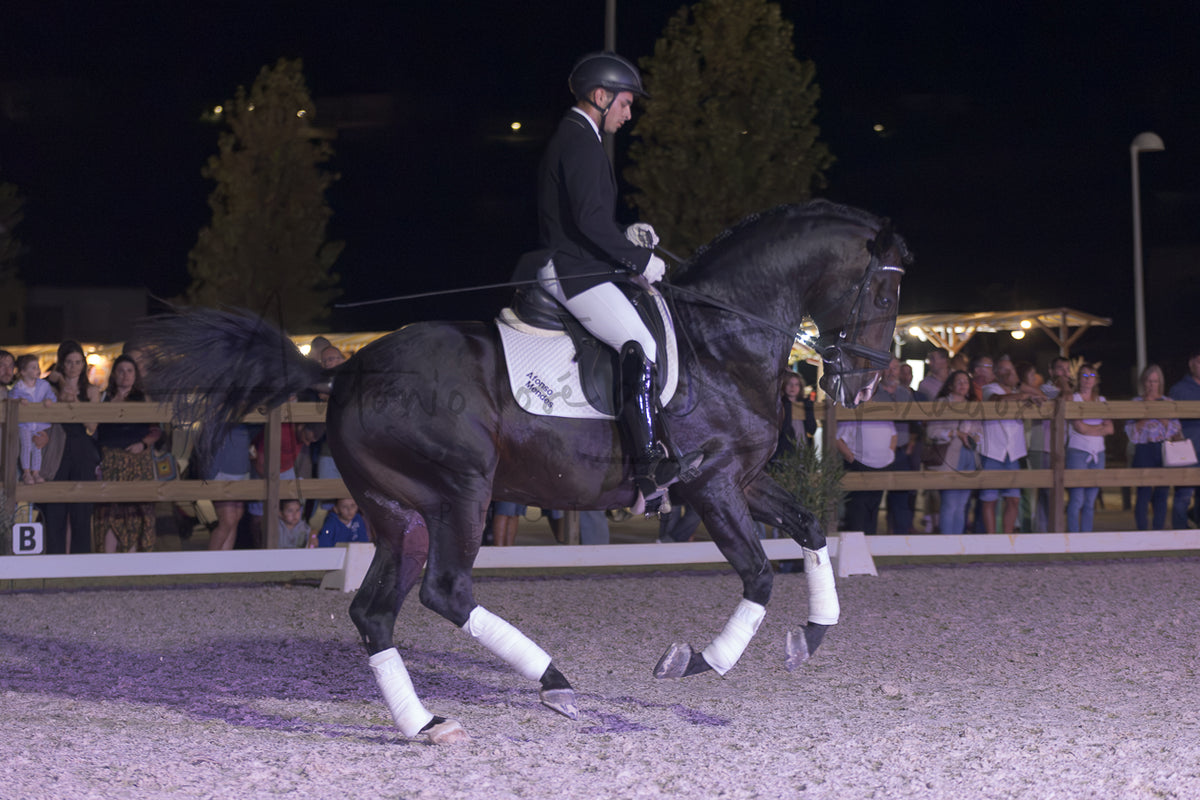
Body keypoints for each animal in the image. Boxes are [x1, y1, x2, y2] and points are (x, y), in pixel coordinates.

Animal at [138, 199, 908, 744]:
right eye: (882, 295)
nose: (863, 385)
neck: (722, 340)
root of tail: (345, 371)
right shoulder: (710, 483)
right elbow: (756, 575)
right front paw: (697, 661)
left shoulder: (743, 479)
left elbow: (810, 529)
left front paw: (811, 635)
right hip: (462, 493)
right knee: (446, 592)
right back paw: (554, 681)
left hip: (400, 512)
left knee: (374, 612)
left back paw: (426, 724)